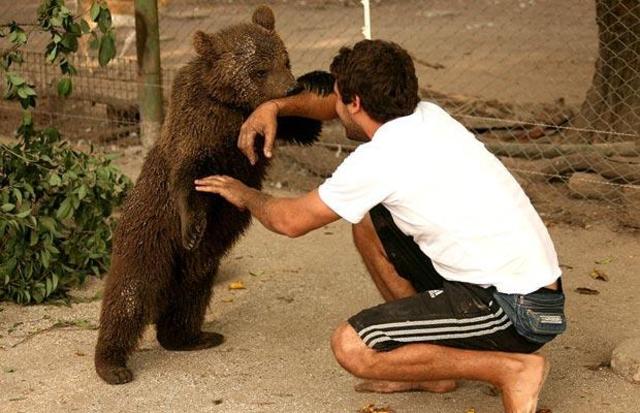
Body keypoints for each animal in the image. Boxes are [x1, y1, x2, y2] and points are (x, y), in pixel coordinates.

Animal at [94, 5, 334, 385]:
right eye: (259, 70)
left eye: (285, 59)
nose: (290, 86)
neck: (230, 103)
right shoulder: (199, 124)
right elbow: (190, 172)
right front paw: (193, 226)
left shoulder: (266, 125)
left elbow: (304, 127)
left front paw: (319, 79)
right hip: (148, 234)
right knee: (129, 292)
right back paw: (112, 363)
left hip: (200, 264)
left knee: (191, 295)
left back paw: (191, 337)